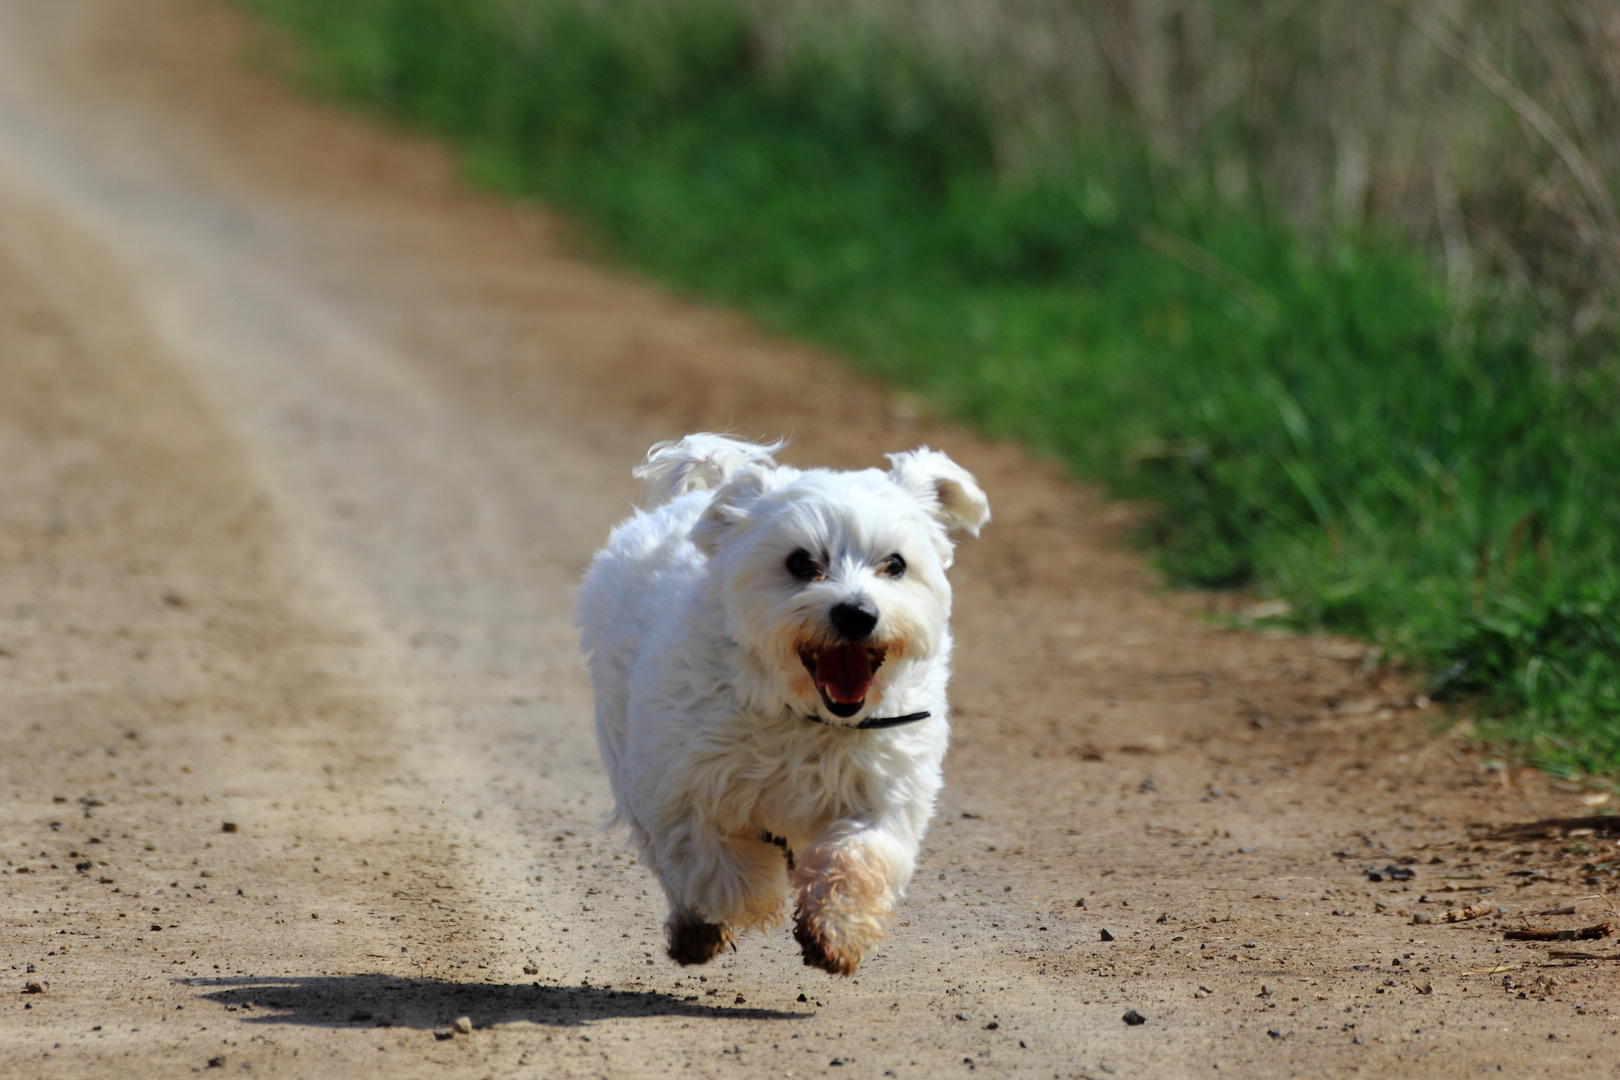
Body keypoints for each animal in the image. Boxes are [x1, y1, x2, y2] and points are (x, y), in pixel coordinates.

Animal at [583, 433, 984, 977]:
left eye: (896, 564)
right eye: (800, 563)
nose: (857, 614)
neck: (808, 716)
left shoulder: (884, 792)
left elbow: (859, 856)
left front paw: (835, 930)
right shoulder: (681, 782)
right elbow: (718, 865)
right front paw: (750, 896)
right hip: (622, 742)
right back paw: (694, 926)